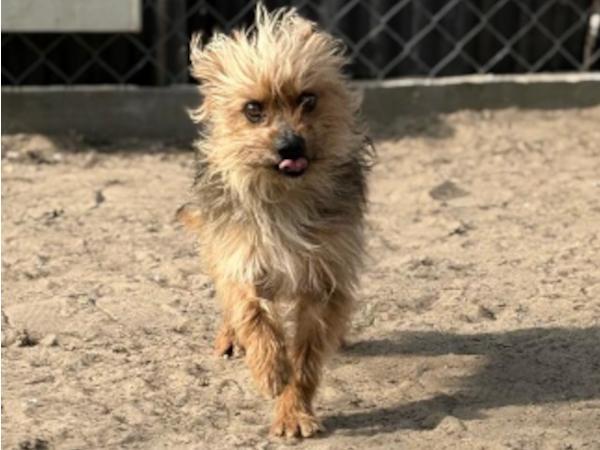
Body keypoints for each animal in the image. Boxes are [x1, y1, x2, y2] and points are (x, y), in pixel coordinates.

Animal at [178, 4, 371, 438]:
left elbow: (307, 358)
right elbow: (251, 312)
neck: (285, 197)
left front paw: (293, 410)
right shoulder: (241, 258)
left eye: (308, 99)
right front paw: (269, 368)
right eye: (253, 109)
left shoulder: (323, 281)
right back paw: (232, 338)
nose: (290, 145)